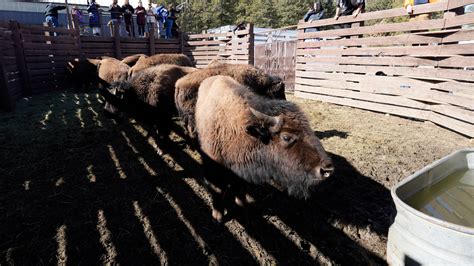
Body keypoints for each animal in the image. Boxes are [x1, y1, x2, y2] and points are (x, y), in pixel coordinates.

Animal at [195, 75, 334, 222]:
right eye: (286, 137)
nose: (327, 169)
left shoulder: (241, 170)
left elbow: (240, 188)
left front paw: (242, 206)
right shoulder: (213, 167)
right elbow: (218, 190)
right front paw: (218, 217)